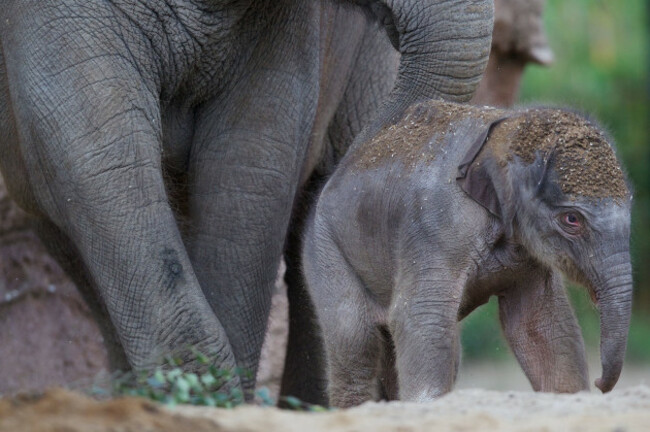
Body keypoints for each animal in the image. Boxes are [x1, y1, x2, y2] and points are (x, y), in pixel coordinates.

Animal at [302, 99, 632, 406]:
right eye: (572, 220)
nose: (601, 384)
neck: (504, 132)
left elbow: (543, 325)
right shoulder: (437, 225)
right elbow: (421, 317)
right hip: (324, 249)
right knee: (355, 341)